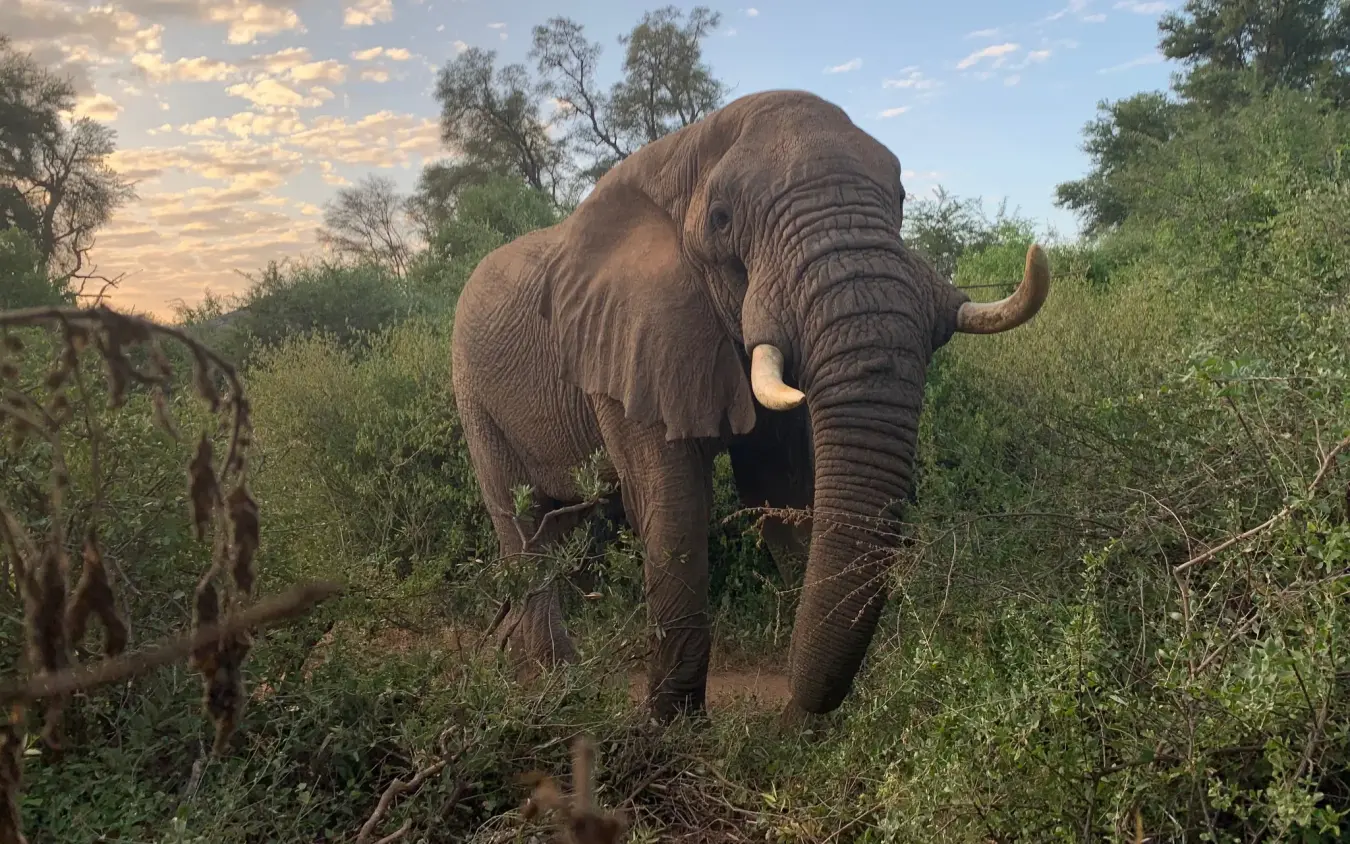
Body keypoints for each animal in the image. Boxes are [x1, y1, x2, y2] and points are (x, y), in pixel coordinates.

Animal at [450, 89, 1050, 720]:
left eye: (903, 198)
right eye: (722, 220)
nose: (793, 718)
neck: (685, 153)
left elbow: (779, 487)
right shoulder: (625, 335)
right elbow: (673, 506)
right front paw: (672, 728)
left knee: (558, 524)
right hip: (473, 393)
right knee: (525, 535)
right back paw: (558, 689)